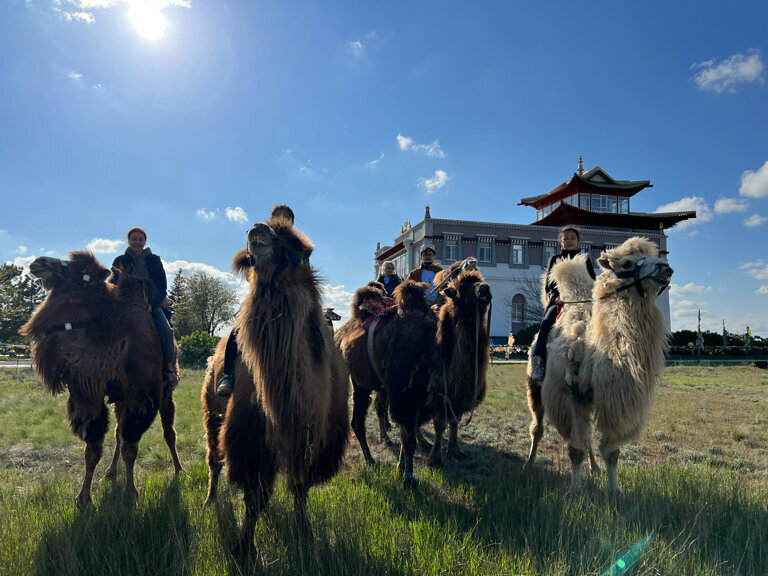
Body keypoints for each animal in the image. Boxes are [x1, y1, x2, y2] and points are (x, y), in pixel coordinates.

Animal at [21, 252, 182, 508]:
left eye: (82, 274)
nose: (39, 262)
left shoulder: (143, 397)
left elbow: (131, 447)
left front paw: (131, 493)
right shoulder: (89, 395)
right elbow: (94, 449)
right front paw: (84, 497)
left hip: (165, 391)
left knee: (168, 431)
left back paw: (178, 469)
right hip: (119, 399)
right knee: (118, 433)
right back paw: (111, 472)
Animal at [201, 217, 352, 560]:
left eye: (299, 248)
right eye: (247, 259)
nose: (257, 230)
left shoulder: (312, 437)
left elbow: (300, 487)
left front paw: (307, 535)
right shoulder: (249, 437)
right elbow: (254, 497)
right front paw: (244, 550)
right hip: (212, 409)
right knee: (214, 457)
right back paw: (210, 500)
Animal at [338, 280, 438, 486]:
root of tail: (341, 335)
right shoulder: (404, 393)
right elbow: (408, 435)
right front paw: (408, 477)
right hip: (361, 383)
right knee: (357, 421)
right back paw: (370, 459)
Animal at [426, 268, 492, 466]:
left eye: (480, 280)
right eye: (461, 290)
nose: (485, 289)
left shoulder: (461, 396)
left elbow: (455, 422)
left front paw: (454, 451)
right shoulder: (439, 394)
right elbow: (440, 425)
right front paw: (435, 458)